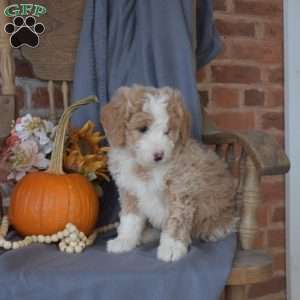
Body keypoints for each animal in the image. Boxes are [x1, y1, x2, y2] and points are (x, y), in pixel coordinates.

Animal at [100, 85, 237, 262]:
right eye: (143, 129)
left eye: (167, 131)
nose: (159, 154)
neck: (147, 168)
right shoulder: (130, 191)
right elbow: (130, 219)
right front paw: (124, 240)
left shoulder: (181, 190)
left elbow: (176, 220)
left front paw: (172, 247)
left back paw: (213, 230)